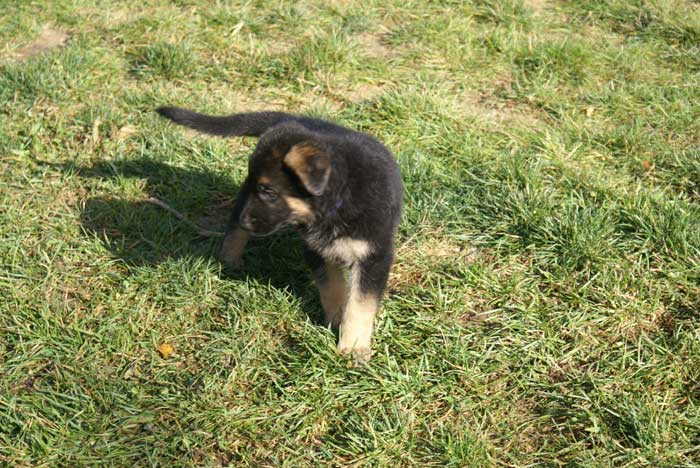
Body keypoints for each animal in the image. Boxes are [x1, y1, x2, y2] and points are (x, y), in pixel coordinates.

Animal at [156, 108, 402, 364]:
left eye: (269, 192)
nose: (246, 222)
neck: (338, 201)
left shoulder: (373, 256)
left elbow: (359, 305)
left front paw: (353, 346)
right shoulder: (316, 251)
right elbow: (331, 288)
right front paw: (336, 320)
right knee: (233, 225)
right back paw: (229, 258)